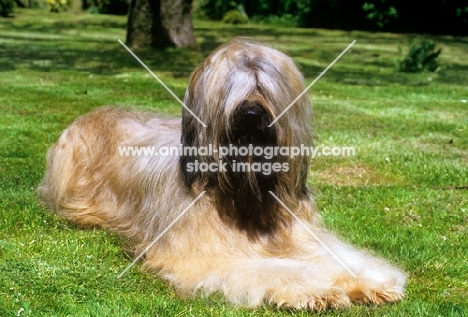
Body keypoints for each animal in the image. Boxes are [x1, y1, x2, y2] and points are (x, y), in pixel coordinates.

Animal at [38, 37, 406, 308]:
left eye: (264, 85)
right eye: (231, 87)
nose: (252, 113)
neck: (247, 195)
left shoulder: (303, 234)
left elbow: (338, 257)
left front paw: (369, 283)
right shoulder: (209, 255)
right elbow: (275, 269)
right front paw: (318, 290)